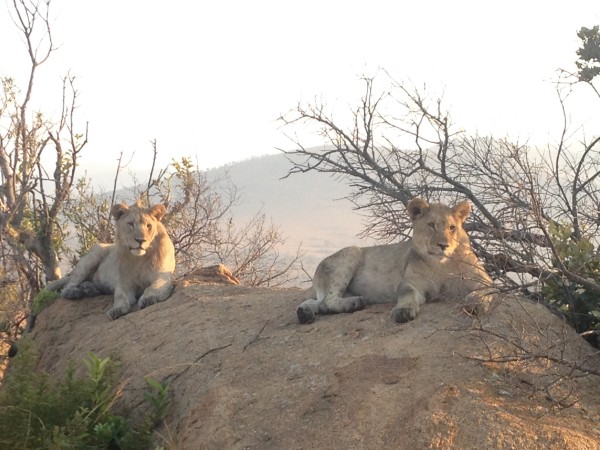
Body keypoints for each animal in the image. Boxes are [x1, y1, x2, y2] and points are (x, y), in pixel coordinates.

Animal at [296, 197, 493, 324]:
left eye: (452, 227)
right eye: (431, 225)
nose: (443, 245)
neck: (441, 265)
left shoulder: (484, 279)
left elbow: (483, 290)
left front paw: (475, 304)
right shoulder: (412, 282)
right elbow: (407, 294)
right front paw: (403, 311)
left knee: (318, 303)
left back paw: (305, 314)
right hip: (352, 252)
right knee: (328, 300)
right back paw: (354, 303)